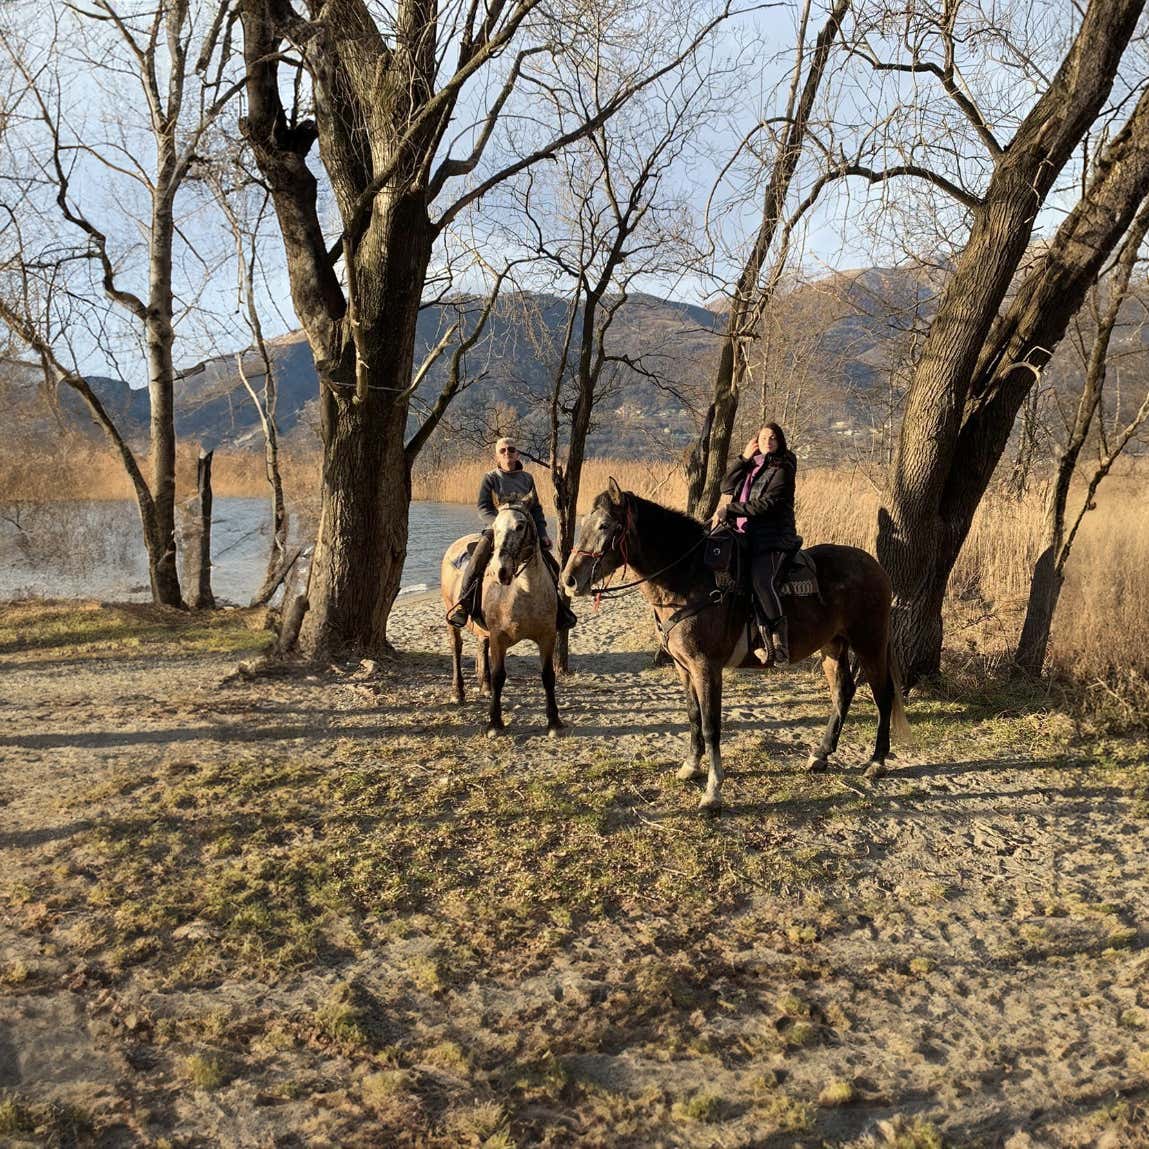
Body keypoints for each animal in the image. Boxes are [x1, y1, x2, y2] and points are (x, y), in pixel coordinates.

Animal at [440, 498, 564, 739]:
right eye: (495, 527)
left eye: (520, 526)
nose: (501, 571)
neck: (524, 591)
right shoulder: (500, 638)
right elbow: (499, 676)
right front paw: (495, 724)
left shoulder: (547, 637)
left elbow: (547, 676)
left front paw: (554, 722)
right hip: (452, 616)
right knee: (456, 648)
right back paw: (458, 692)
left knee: (481, 645)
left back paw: (484, 686)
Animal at [560, 479, 909, 810]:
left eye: (605, 525)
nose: (569, 580)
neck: (689, 578)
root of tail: (875, 566)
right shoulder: (683, 667)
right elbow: (693, 717)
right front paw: (690, 767)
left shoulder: (706, 667)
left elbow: (711, 725)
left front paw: (713, 791)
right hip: (833, 647)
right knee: (843, 692)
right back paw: (821, 754)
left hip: (870, 643)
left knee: (883, 696)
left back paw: (877, 761)